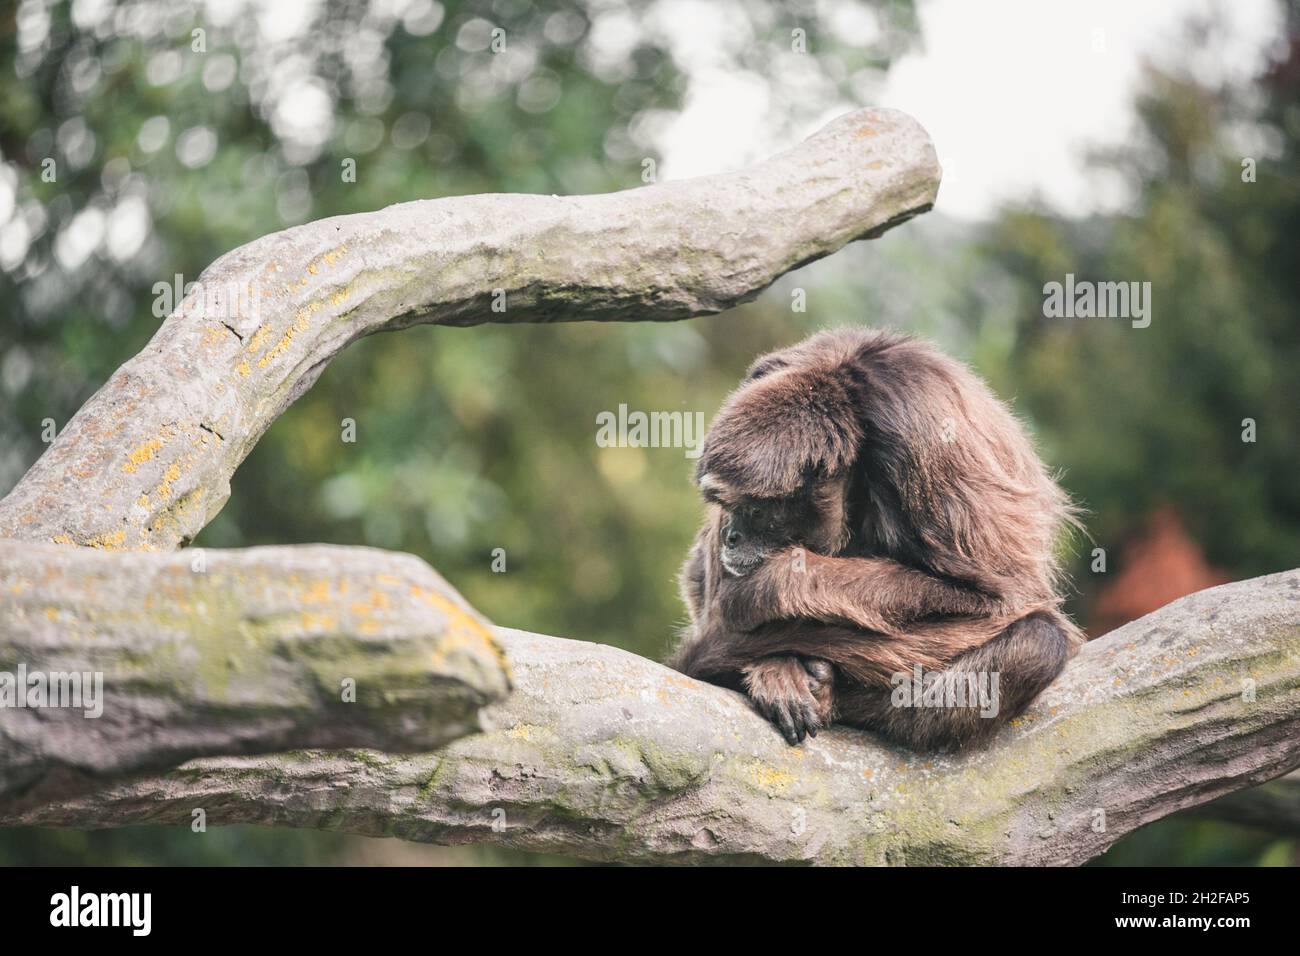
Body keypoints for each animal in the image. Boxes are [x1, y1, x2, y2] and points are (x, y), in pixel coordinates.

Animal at [666, 327, 1085, 751]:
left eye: (755, 511)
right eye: (729, 504)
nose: (732, 536)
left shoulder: (923, 433)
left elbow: (999, 600)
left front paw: (766, 590)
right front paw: (774, 663)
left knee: (1039, 641)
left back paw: (833, 694)